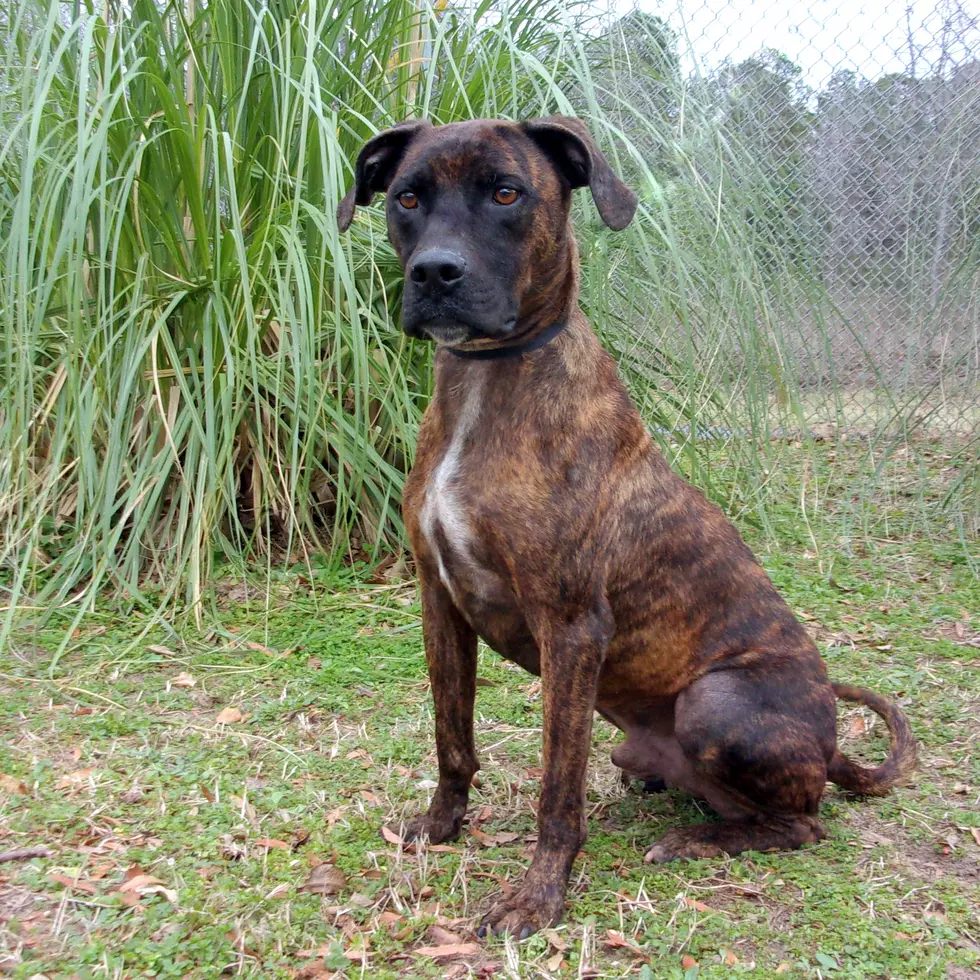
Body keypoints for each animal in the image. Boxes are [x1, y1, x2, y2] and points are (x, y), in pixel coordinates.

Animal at [338, 118, 920, 936]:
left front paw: (538, 895)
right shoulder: (439, 602)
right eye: (407, 198)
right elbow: (453, 736)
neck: (488, 380)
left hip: (717, 702)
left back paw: (695, 839)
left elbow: (557, 788)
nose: (435, 273)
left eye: (507, 193)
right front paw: (443, 826)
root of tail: (829, 748)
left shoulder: (572, 627)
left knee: (805, 823)